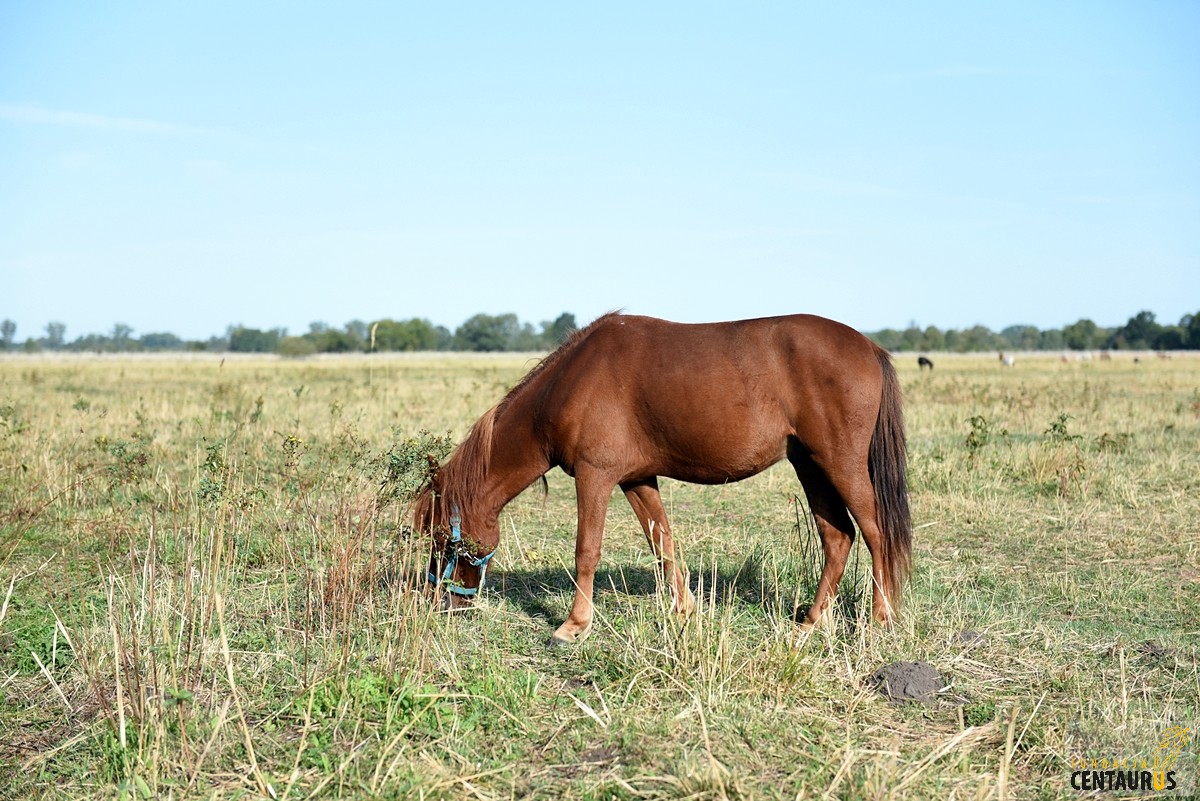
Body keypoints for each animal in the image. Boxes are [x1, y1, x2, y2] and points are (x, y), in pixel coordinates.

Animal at [412, 311, 907, 642]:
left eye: (441, 537)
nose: (445, 603)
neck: (571, 382)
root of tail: (870, 348)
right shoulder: (637, 480)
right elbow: (663, 543)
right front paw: (685, 610)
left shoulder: (595, 477)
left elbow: (587, 550)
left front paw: (573, 625)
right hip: (810, 466)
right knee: (838, 537)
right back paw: (811, 621)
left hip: (839, 465)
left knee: (875, 533)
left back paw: (881, 619)